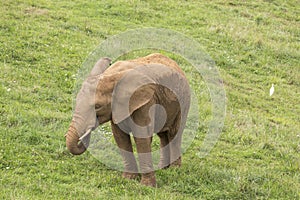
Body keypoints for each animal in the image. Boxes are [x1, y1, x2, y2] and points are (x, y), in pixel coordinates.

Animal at [66, 53, 191, 188]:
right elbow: (120, 137)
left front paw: (147, 186)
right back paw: (162, 168)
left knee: (174, 134)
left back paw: (174, 170)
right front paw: (128, 179)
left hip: (183, 101)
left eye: (97, 106)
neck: (111, 75)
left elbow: (141, 137)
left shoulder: (146, 103)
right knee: (163, 135)